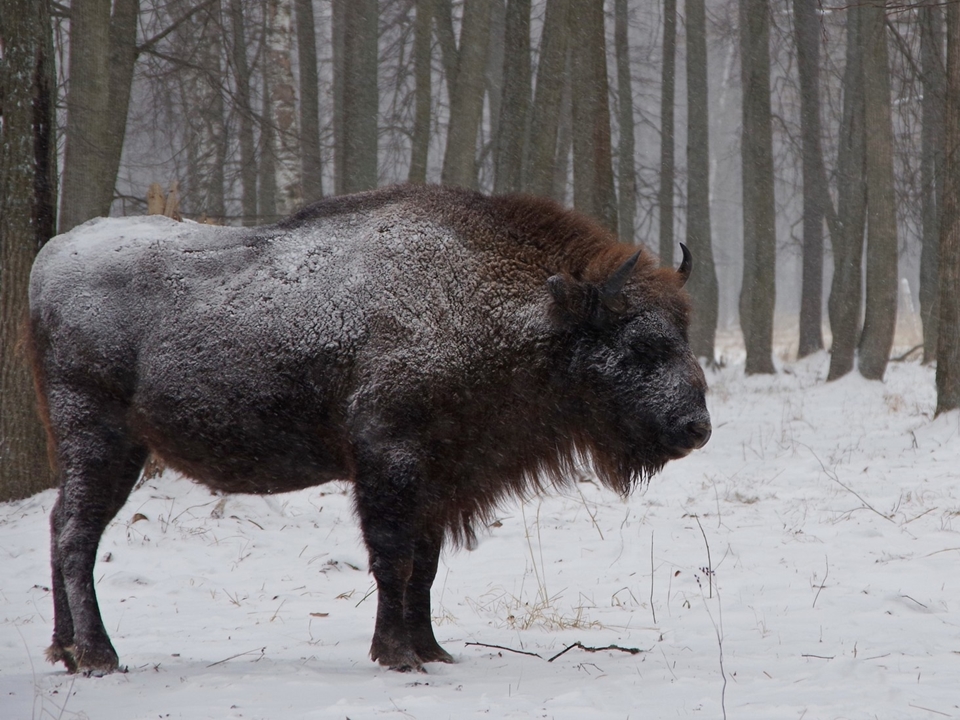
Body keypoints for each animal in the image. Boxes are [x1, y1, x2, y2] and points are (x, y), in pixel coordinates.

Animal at [28, 184, 704, 676]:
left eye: (683, 332)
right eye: (640, 347)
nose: (696, 426)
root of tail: (47, 262)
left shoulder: (439, 479)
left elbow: (425, 564)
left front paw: (433, 650)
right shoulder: (390, 461)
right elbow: (393, 558)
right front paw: (398, 656)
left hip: (111, 451)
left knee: (62, 525)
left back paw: (64, 650)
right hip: (99, 439)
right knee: (77, 535)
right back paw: (98, 657)